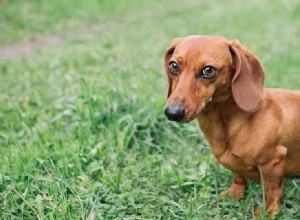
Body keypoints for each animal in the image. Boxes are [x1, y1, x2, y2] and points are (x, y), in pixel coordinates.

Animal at [164, 35, 300, 217]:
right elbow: (238, 177)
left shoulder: (273, 162)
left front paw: (267, 211)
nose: (172, 113)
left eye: (208, 70)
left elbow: (271, 191)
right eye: (173, 66)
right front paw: (235, 194)